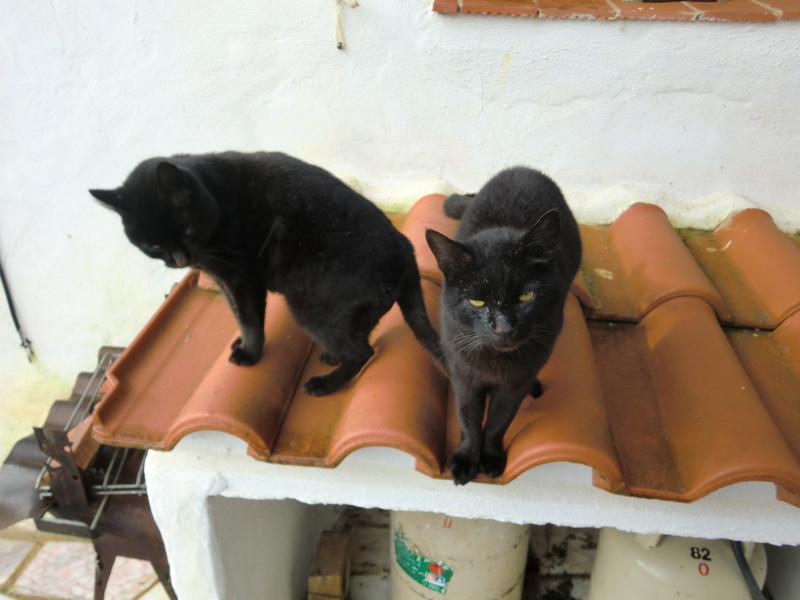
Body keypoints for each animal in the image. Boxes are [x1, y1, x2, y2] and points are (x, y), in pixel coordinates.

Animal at [90, 151, 443, 396]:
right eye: (151, 245)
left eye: (186, 230)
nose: (178, 259)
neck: (215, 192)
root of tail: (406, 250)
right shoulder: (223, 281)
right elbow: (235, 313)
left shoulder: (242, 280)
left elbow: (248, 320)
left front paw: (249, 353)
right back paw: (331, 357)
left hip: (309, 309)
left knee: (363, 353)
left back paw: (325, 384)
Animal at [425, 167, 581, 485]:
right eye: (476, 301)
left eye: (526, 296)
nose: (504, 328)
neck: (494, 363)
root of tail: (522, 169)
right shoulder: (464, 374)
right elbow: (468, 418)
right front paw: (465, 460)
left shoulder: (516, 381)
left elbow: (500, 420)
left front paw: (491, 458)